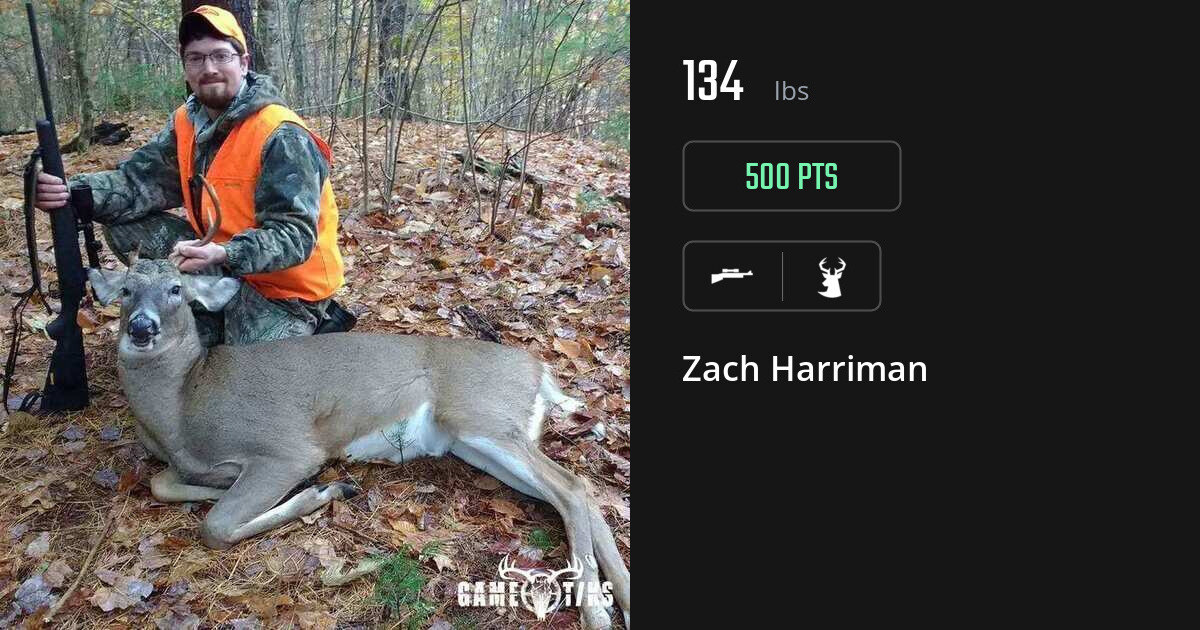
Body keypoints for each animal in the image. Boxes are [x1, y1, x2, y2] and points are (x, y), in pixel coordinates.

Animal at [86, 176, 629, 630]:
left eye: (177, 289)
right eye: (126, 291)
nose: (142, 328)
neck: (183, 407)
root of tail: (540, 370)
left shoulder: (286, 449)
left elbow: (216, 524)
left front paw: (322, 491)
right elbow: (162, 484)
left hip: (485, 416)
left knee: (573, 488)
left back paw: (596, 612)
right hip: (473, 440)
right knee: (577, 494)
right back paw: (621, 596)